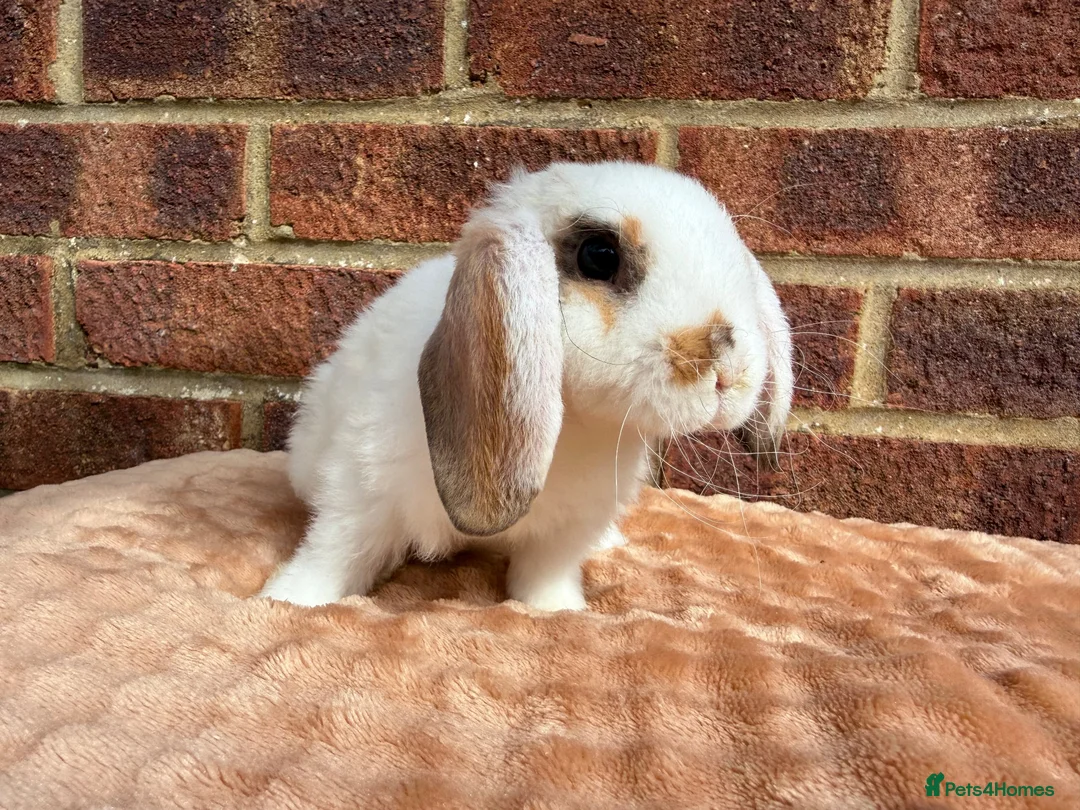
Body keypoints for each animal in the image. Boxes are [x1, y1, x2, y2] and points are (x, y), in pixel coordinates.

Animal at [259, 161, 793, 612]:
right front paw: (289, 601)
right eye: (599, 256)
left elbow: (544, 576)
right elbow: (336, 551)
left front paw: (560, 611)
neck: (575, 428)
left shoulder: (569, 530)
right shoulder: (360, 487)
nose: (729, 369)